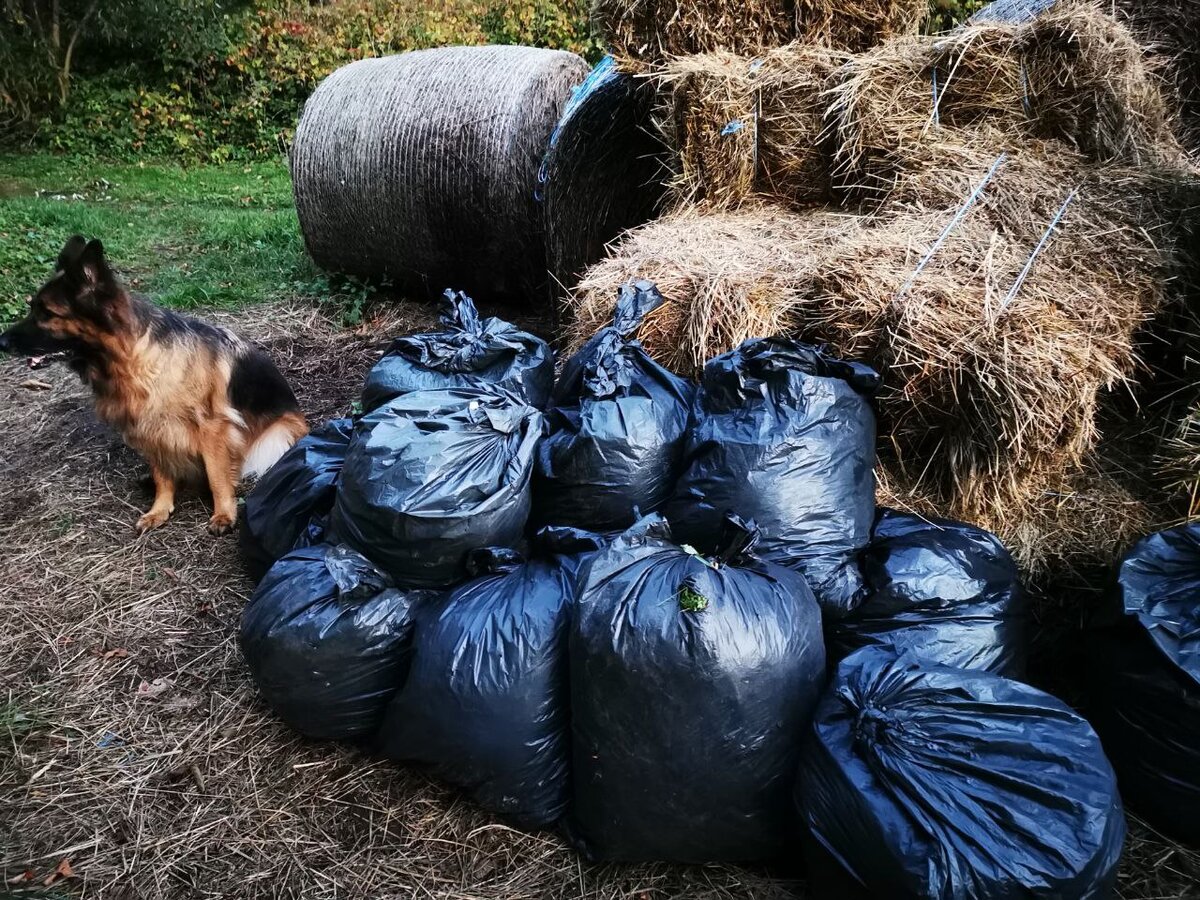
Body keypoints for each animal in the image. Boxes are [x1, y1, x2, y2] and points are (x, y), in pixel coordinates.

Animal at [0, 240, 307, 535]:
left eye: (47, 313)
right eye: (32, 307)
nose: (1, 342)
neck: (134, 360)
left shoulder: (212, 429)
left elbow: (217, 477)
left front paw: (223, 514)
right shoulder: (150, 428)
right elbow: (162, 475)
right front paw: (159, 509)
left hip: (277, 435)